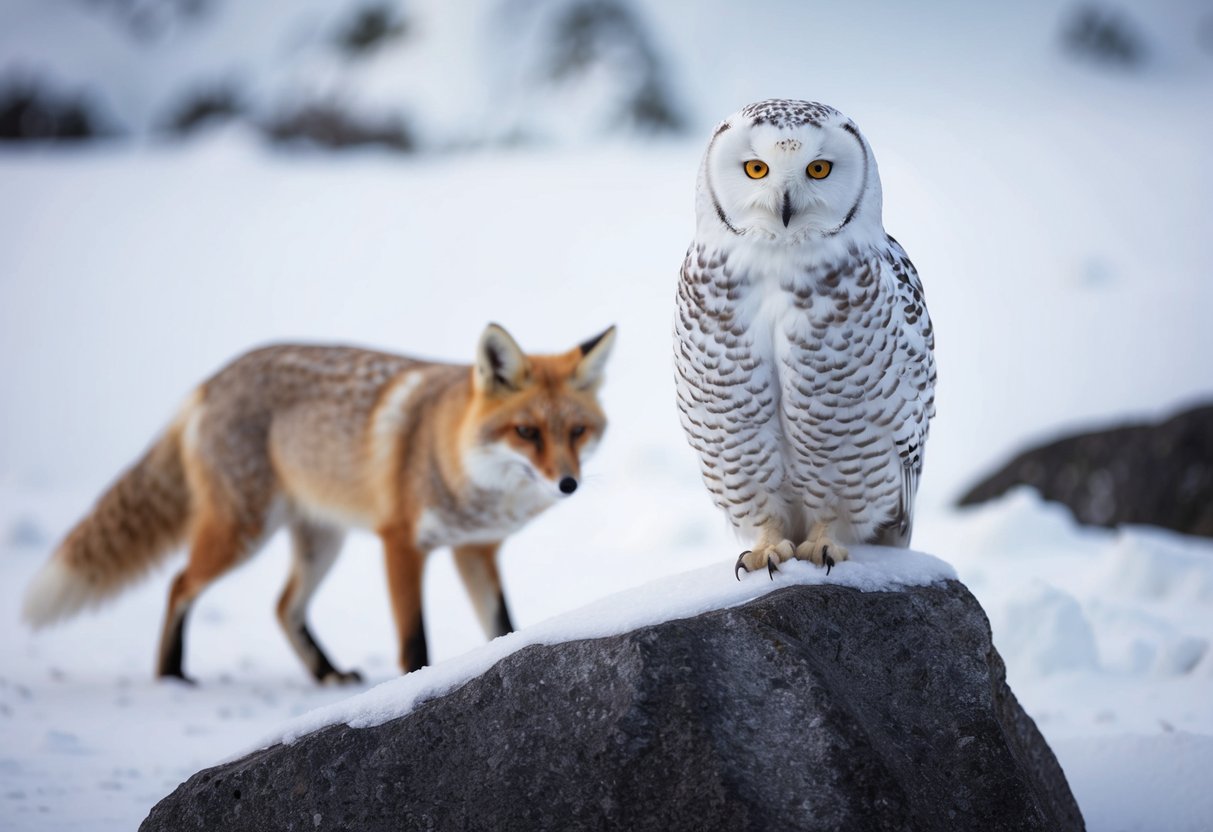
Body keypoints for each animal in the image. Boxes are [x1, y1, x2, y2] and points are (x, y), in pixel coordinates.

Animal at [22, 323, 615, 684]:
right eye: (526, 432)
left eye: (578, 432)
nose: (568, 483)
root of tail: (211, 381)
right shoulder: (401, 543)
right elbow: (413, 643)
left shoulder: (476, 551)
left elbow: (503, 628)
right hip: (242, 534)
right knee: (179, 584)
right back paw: (171, 675)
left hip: (320, 542)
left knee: (284, 607)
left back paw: (326, 674)